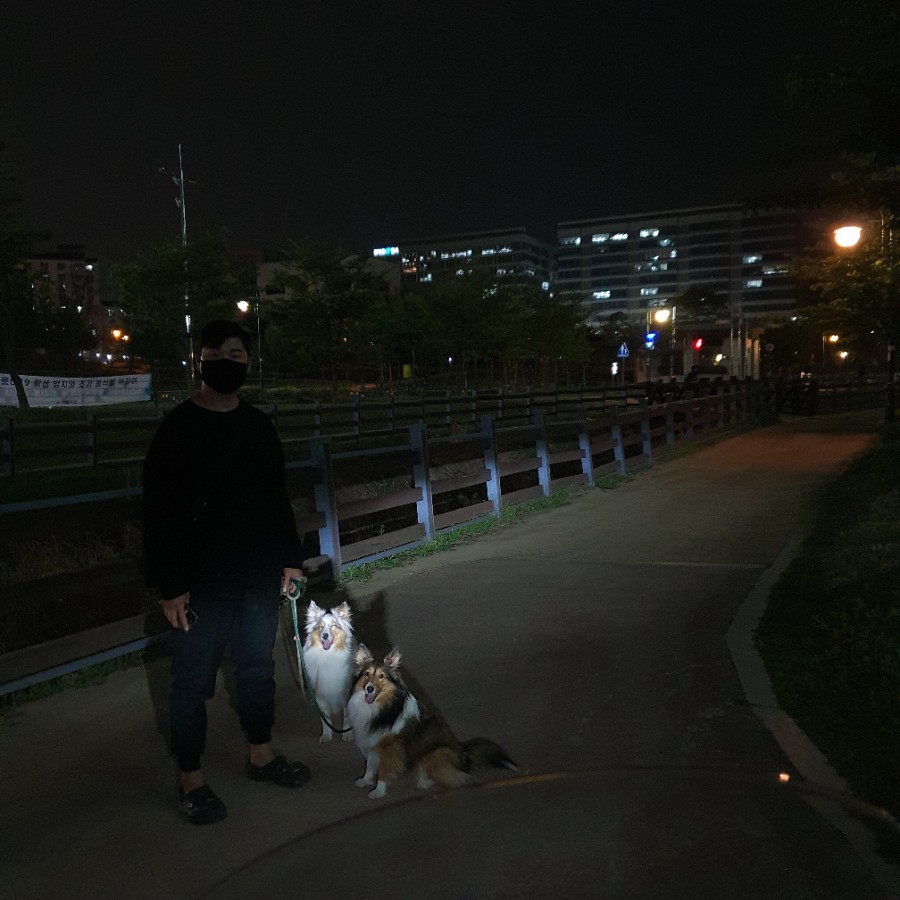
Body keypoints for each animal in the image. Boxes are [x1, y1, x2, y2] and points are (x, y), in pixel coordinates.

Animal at [302, 600, 356, 742]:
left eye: (333, 626)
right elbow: (325, 718)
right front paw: (326, 736)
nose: (325, 636)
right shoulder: (320, 694)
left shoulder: (345, 693)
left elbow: (347, 717)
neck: (326, 655)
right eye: (320, 627)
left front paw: (347, 734)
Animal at [347, 644, 518, 799]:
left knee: (456, 778)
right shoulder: (371, 741)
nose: (369, 688)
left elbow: (382, 770)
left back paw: (421, 780)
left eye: (381, 676)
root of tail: (464, 755)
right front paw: (365, 780)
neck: (381, 707)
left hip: (435, 754)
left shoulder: (388, 747)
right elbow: (370, 764)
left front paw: (378, 791)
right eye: (367, 674)